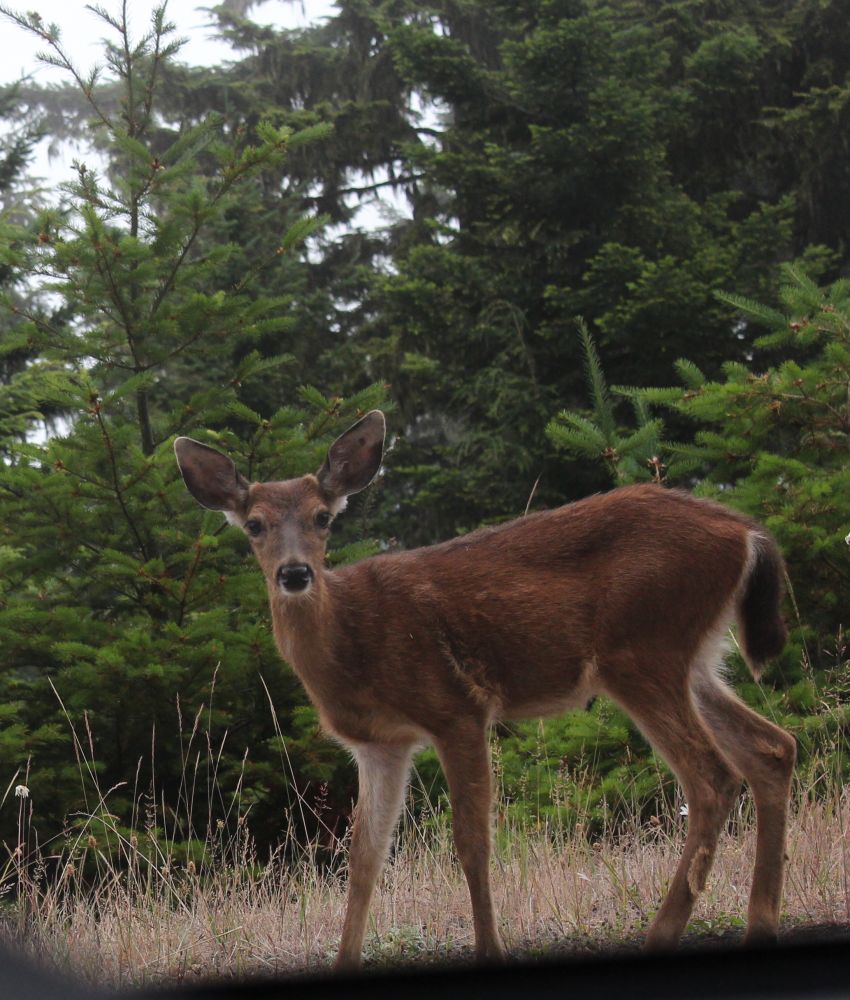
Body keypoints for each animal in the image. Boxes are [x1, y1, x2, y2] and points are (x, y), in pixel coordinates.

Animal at [174, 410, 796, 970]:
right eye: (254, 524)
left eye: (322, 517)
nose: (295, 573)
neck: (351, 643)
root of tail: (747, 532)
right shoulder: (381, 743)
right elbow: (364, 856)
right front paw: (345, 963)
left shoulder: (456, 708)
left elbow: (472, 843)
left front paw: (490, 951)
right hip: (695, 662)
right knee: (773, 747)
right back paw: (759, 924)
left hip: (643, 651)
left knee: (713, 777)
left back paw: (663, 933)